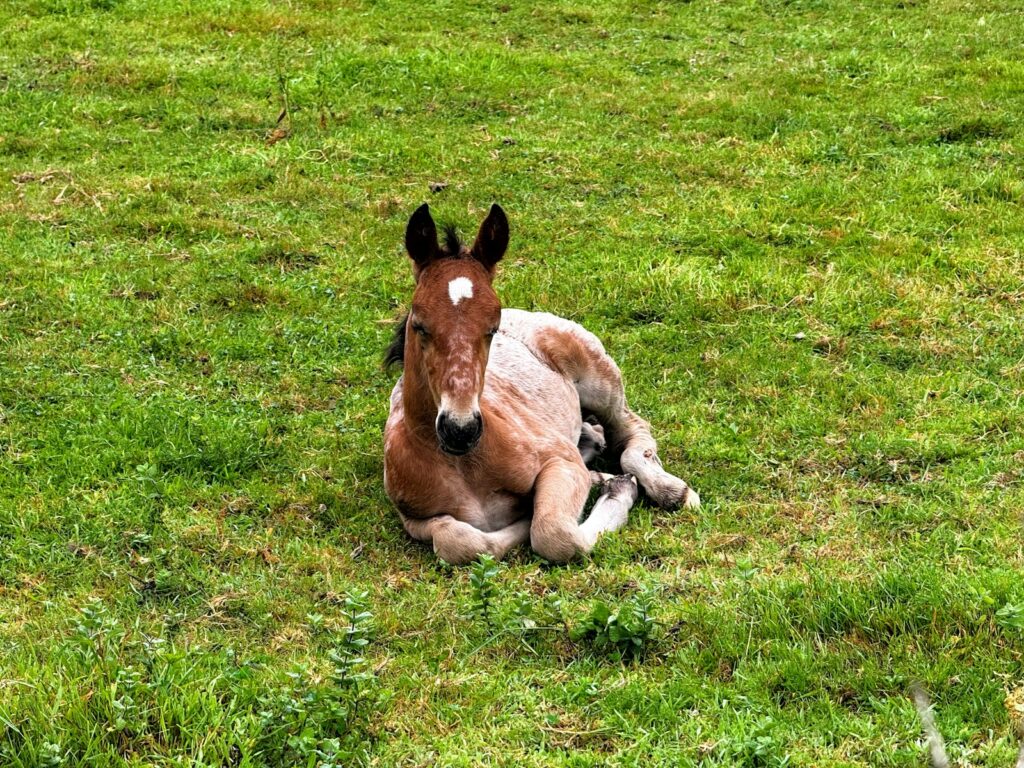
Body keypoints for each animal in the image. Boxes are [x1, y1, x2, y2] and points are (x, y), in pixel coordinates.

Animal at [383, 203, 699, 564]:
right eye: (419, 325)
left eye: (493, 327)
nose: (460, 429)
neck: (465, 467)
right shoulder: (412, 516)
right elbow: (460, 541)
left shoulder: (560, 462)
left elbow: (552, 532)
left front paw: (617, 488)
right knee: (598, 434)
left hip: (600, 379)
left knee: (631, 428)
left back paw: (669, 489)